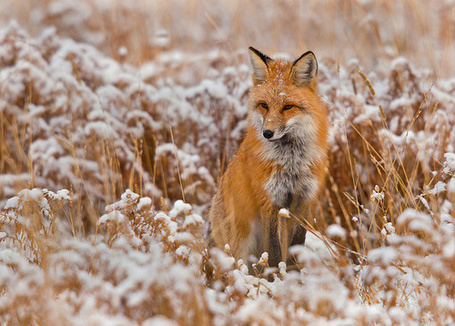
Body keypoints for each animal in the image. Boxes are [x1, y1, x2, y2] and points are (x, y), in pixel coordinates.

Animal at [208, 47, 330, 268]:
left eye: (288, 106)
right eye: (264, 105)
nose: (267, 133)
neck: (291, 162)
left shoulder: (304, 200)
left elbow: (296, 246)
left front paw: (292, 274)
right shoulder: (269, 201)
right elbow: (273, 252)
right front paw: (275, 275)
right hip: (240, 244)